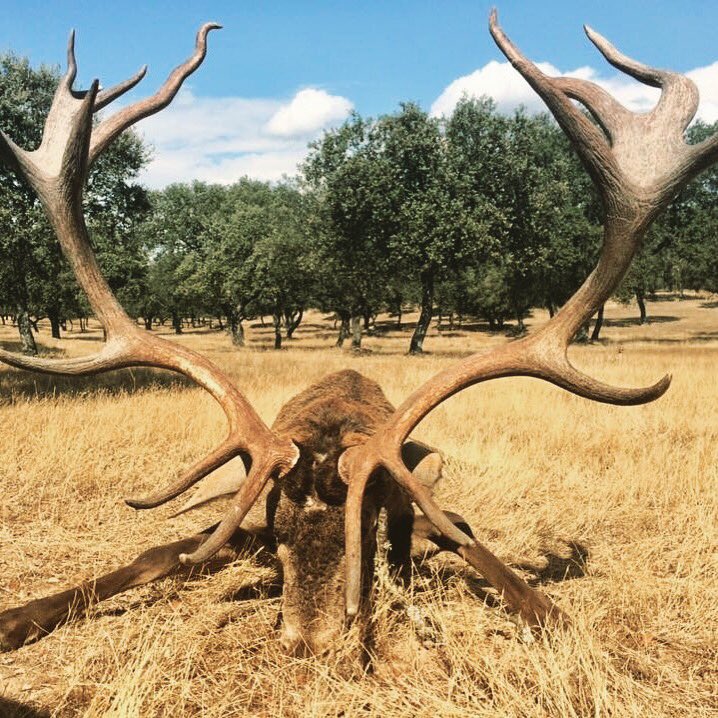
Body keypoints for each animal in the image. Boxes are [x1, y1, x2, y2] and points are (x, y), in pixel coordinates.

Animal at [1, 9, 718, 660]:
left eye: (364, 531)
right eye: (279, 531)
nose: (311, 641)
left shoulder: (413, 507)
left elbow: (477, 550)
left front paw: (557, 618)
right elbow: (161, 551)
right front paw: (19, 616)